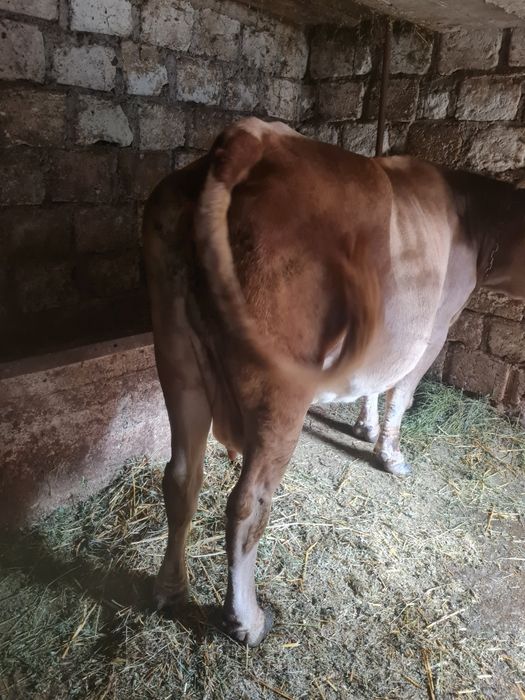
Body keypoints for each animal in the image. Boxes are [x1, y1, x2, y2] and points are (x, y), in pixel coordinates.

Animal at [142, 117, 525, 646]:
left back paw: (169, 590)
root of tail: (250, 140)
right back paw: (247, 621)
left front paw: (364, 426)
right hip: (278, 385)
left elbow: (373, 379)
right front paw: (390, 454)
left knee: (182, 477)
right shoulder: (434, 328)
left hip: (176, 355)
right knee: (246, 503)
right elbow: (401, 393)